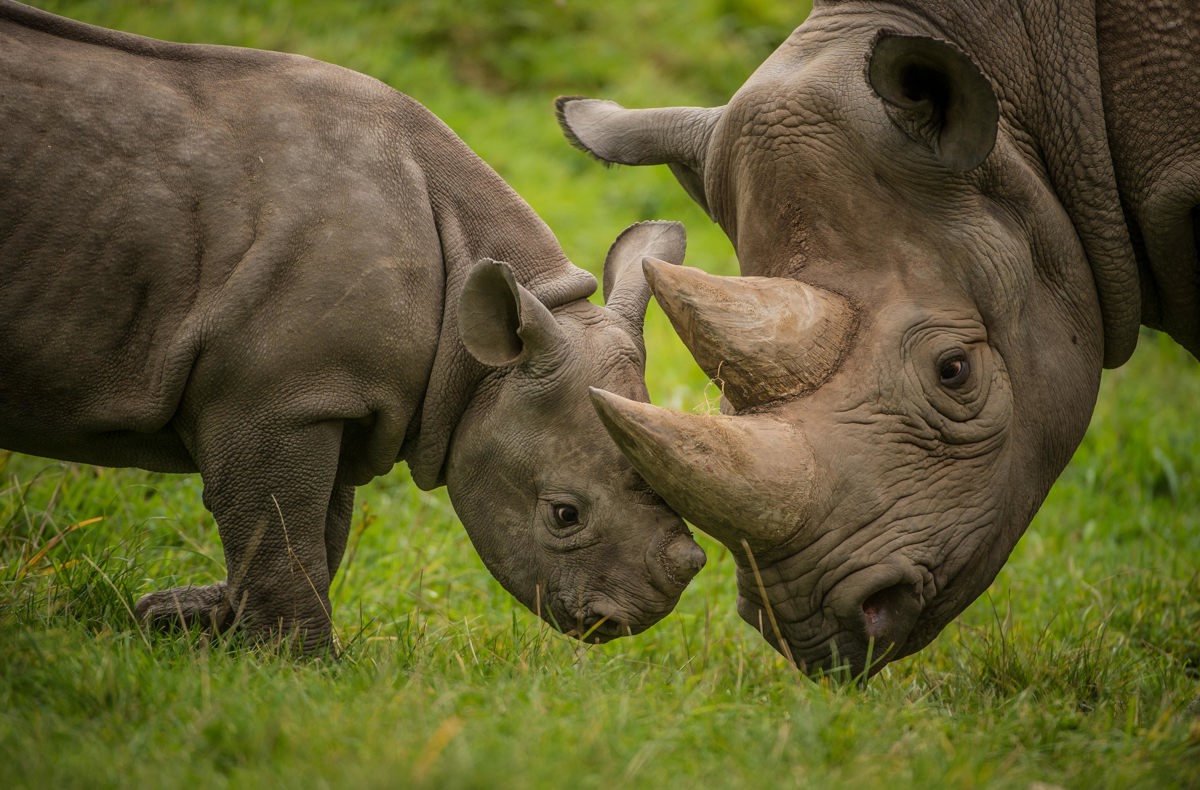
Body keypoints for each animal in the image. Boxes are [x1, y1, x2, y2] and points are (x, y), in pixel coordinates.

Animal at [0, 0, 705, 654]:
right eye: (564, 514)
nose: (636, 616)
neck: (477, 353)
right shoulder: (273, 398)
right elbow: (281, 532)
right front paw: (301, 666)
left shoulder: (323, 390)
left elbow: (313, 535)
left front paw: (188, 624)